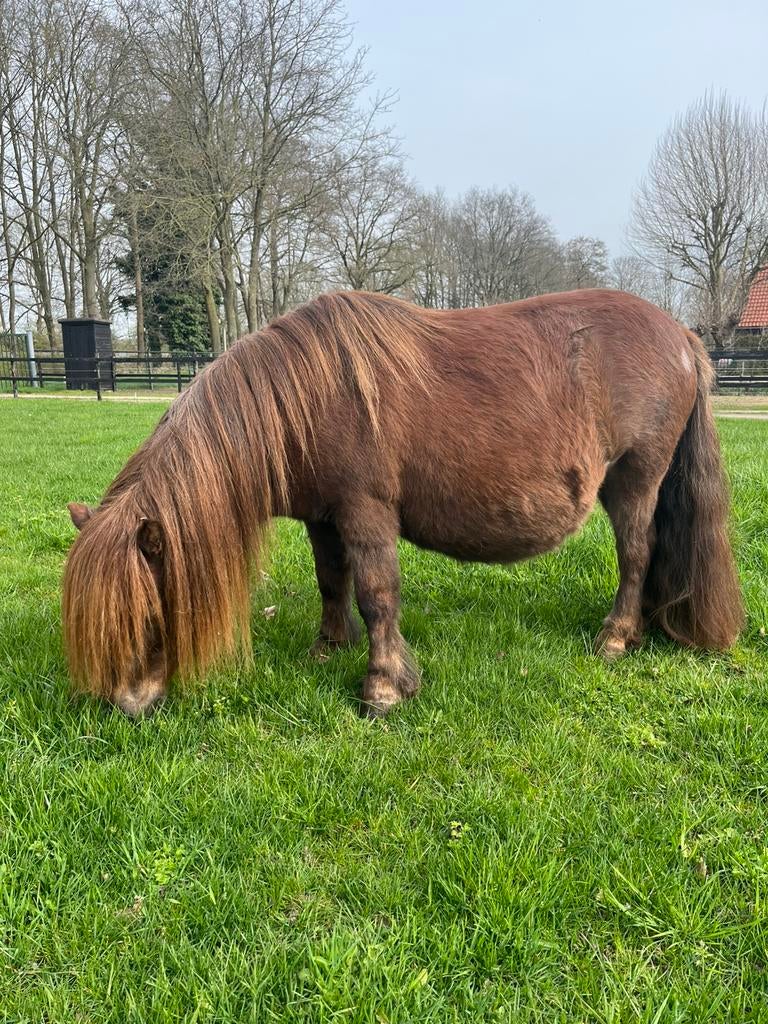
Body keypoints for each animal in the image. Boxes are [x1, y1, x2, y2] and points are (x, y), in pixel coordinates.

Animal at [62, 289, 744, 718]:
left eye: (147, 613)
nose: (127, 706)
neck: (305, 399)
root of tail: (681, 336)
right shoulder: (323, 518)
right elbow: (332, 582)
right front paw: (327, 647)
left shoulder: (365, 513)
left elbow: (376, 594)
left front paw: (383, 687)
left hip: (634, 482)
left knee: (637, 555)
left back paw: (616, 637)